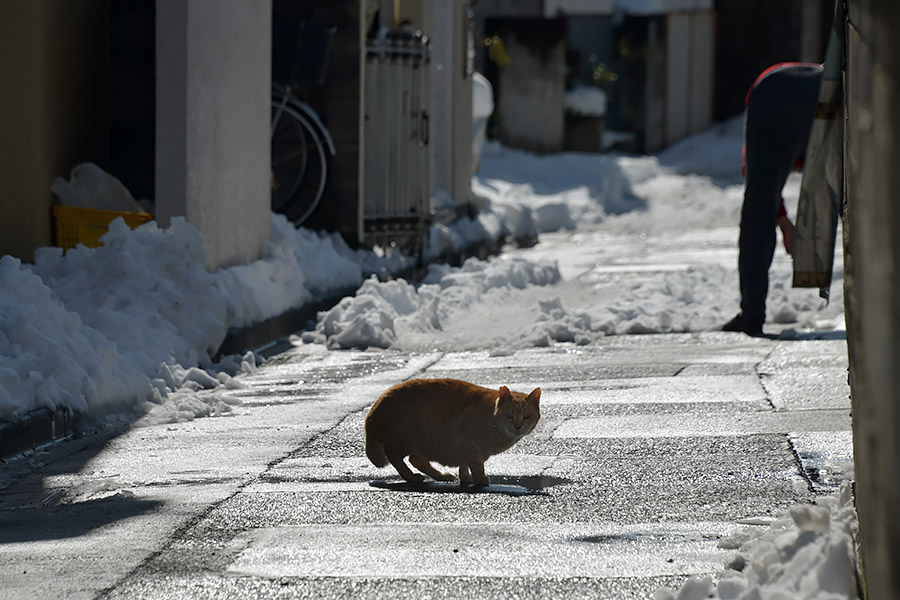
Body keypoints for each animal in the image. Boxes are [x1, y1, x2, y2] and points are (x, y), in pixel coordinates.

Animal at [366, 380, 540, 488]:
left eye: (526, 417)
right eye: (509, 416)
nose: (518, 426)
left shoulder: (464, 449)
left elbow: (464, 465)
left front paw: (466, 477)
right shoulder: (471, 444)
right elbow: (477, 465)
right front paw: (479, 479)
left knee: (416, 460)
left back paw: (440, 476)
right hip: (405, 440)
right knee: (395, 457)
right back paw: (411, 477)